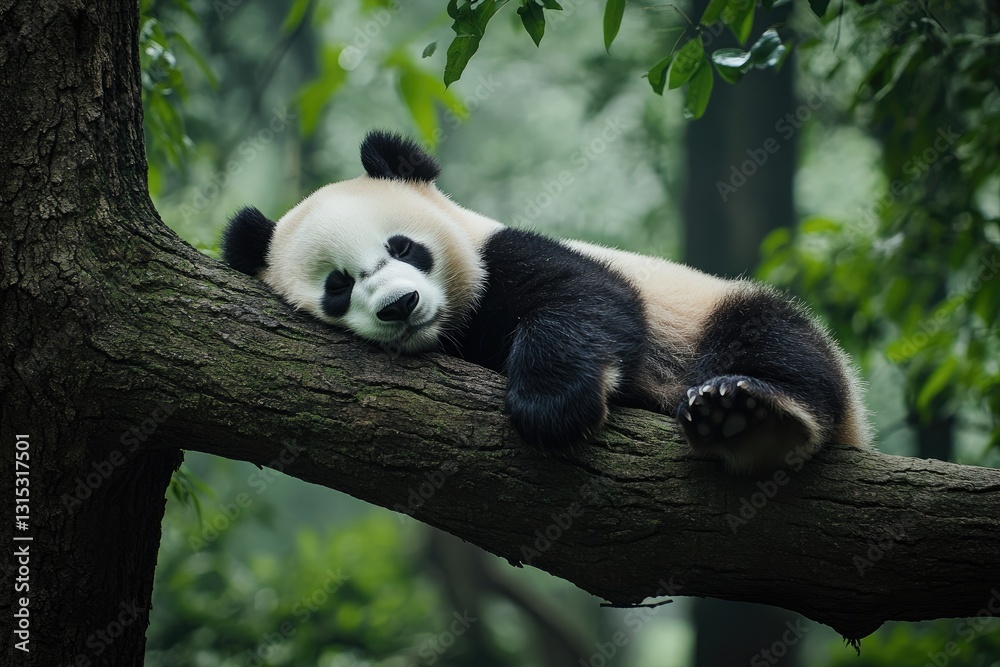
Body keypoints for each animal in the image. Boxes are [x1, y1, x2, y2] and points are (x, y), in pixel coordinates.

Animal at [222, 130, 872, 472]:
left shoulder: (505, 252)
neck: (454, 328)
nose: (400, 306)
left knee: (780, 343)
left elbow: (591, 300)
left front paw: (551, 407)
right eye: (337, 286)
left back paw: (748, 416)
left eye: (403, 246)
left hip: (723, 312)